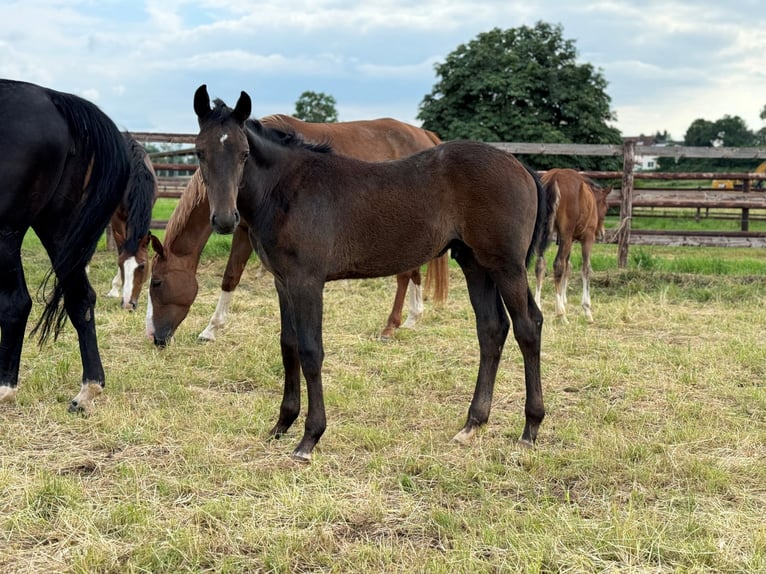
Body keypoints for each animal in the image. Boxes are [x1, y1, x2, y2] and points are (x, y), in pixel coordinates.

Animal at [0, 80, 140, 414]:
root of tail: (54, 98)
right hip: (60, 227)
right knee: (80, 298)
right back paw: (88, 389)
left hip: (6, 232)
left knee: (16, 303)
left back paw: (4, 389)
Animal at [146, 115, 450, 344]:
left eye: (156, 282)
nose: (154, 336)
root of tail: (425, 135)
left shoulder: (243, 230)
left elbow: (230, 276)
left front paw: (211, 329)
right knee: (412, 271)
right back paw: (411, 318)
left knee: (405, 274)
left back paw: (391, 326)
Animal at [189, 85, 556, 464]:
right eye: (199, 152)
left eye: (244, 153)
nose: (225, 219)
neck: (289, 189)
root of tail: (523, 167)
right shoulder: (283, 281)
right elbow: (288, 345)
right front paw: (282, 424)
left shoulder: (307, 282)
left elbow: (310, 351)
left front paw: (309, 438)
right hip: (475, 264)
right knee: (492, 329)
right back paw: (472, 424)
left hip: (506, 266)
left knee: (527, 327)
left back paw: (530, 429)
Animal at [536, 169, 612, 324]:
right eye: (606, 207)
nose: (601, 234)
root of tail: (553, 177)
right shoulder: (587, 237)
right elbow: (586, 268)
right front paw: (587, 310)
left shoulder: (568, 240)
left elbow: (568, 267)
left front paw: (563, 300)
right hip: (567, 234)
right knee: (557, 265)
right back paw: (561, 314)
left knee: (540, 264)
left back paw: (539, 307)